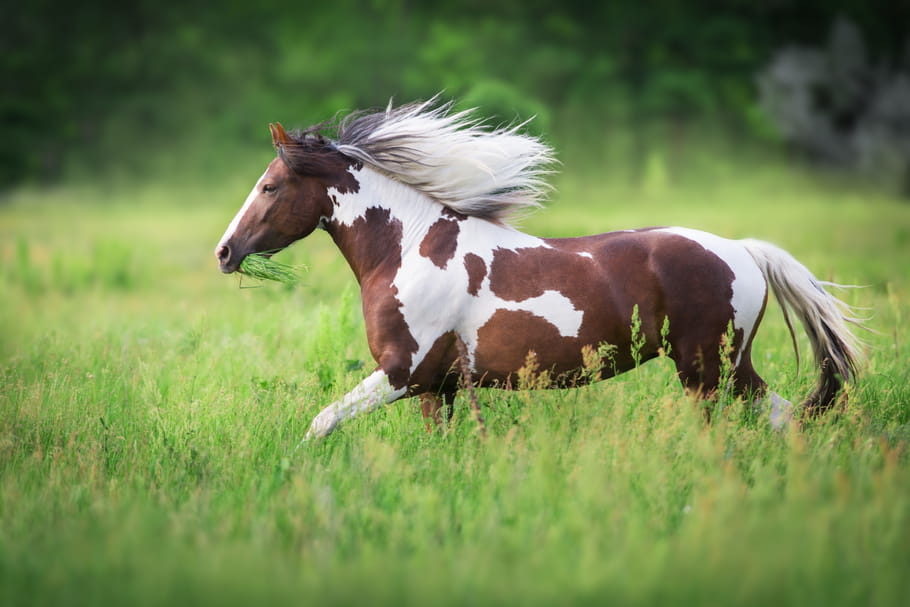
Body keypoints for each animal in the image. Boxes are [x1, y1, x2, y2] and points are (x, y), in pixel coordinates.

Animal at [214, 99, 863, 441]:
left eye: (269, 187)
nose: (224, 252)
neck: (409, 249)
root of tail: (745, 252)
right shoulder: (437, 387)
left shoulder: (402, 373)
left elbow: (320, 423)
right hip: (726, 368)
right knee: (786, 418)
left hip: (709, 368)